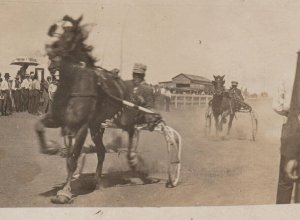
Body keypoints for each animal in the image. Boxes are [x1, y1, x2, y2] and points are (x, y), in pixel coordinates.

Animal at [35, 15, 156, 205]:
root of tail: (128, 86)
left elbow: (73, 158)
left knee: (131, 130)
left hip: (123, 118)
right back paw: (97, 181)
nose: (52, 58)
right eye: (58, 36)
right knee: (102, 151)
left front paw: (65, 192)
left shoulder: (82, 126)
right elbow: (39, 125)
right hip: (97, 126)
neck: (73, 85)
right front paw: (50, 147)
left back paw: (133, 159)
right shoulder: (57, 119)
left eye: (69, 39)